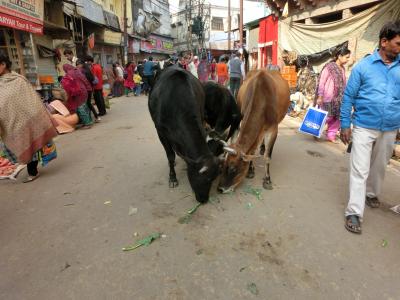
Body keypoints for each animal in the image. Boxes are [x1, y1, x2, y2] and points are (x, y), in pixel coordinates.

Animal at [149, 67, 220, 203]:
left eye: (213, 179)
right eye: (200, 178)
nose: (203, 200)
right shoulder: (161, 132)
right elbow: (170, 155)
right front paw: (172, 178)